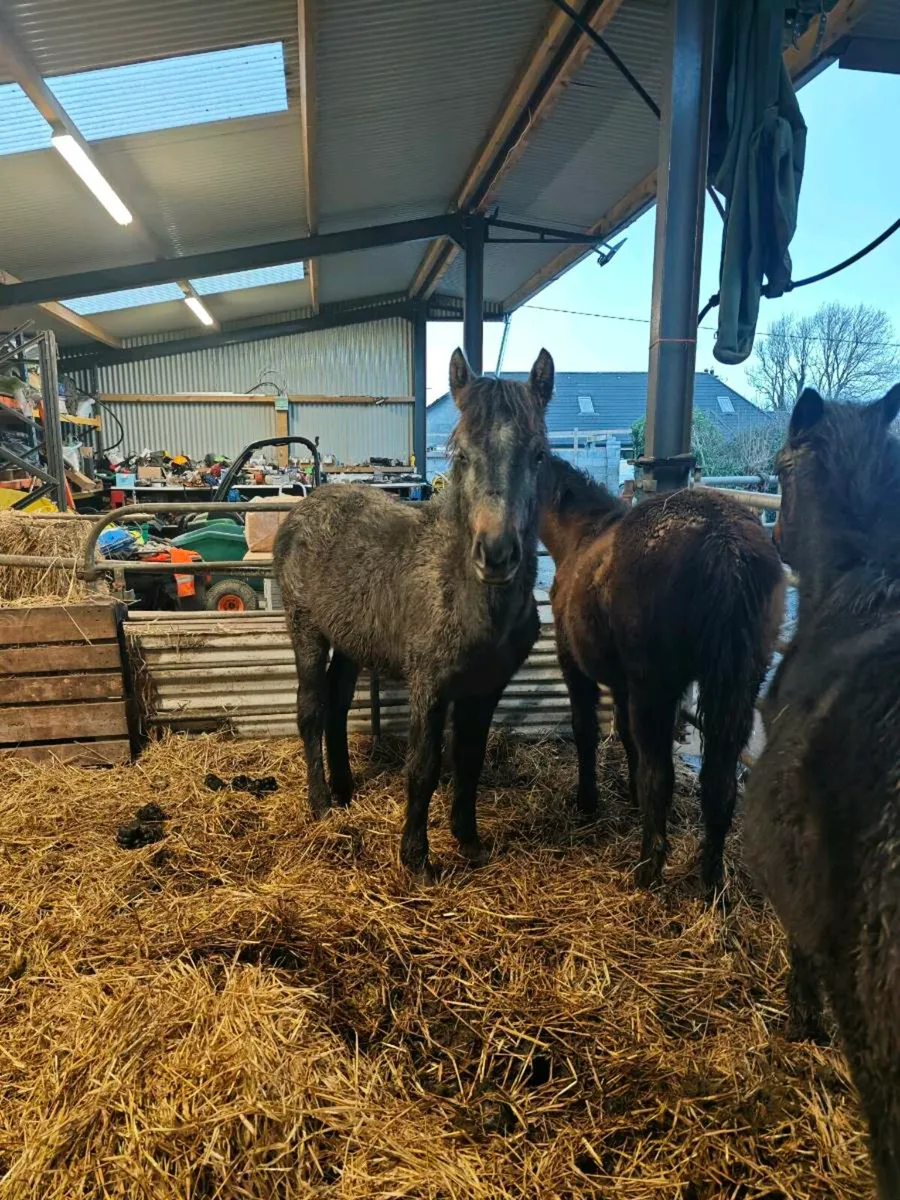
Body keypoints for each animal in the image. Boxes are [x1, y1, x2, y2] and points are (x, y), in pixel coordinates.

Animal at [273, 349, 553, 878]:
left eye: (540, 455)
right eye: (460, 454)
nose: (497, 555)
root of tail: (307, 504)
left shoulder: (486, 687)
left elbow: (470, 761)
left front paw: (468, 840)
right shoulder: (430, 686)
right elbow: (423, 767)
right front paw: (416, 858)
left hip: (353, 639)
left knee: (338, 704)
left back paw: (345, 790)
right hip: (306, 629)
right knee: (312, 710)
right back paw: (320, 802)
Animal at [540, 455, 784, 894]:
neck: (580, 535)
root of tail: (725, 544)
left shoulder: (577, 668)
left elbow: (586, 731)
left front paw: (587, 801)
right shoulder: (623, 687)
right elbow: (627, 738)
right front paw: (631, 795)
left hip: (655, 691)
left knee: (663, 777)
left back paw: (647, 870)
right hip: (738, 688)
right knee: (719, 784)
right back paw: (711, 880)